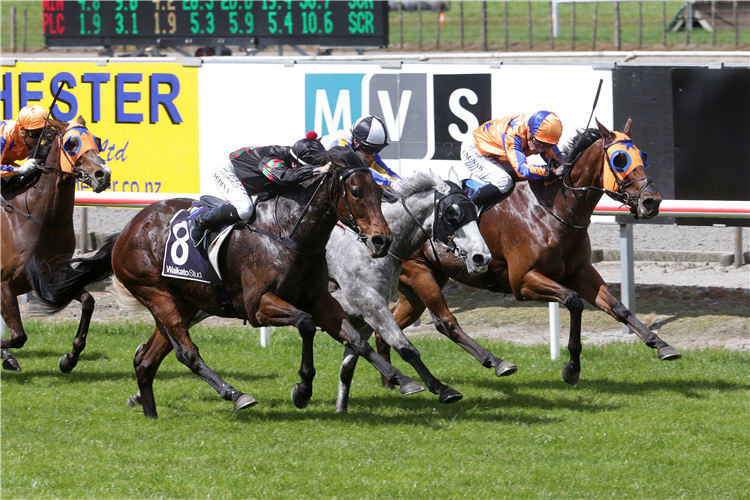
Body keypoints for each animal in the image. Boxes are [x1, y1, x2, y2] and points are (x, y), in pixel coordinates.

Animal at [0, 117, 111, 374]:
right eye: (72, 143)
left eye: (97, 139)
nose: (104, 175)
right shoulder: (4, 284)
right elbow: (18, 336)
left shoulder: (54, 275)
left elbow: (88, 302)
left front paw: (69, 358)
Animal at [30, 146, 428, 418]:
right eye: (356, 192)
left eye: (380, 192)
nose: (382, 241)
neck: (289, 233)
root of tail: (127, 230)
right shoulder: (258, 305)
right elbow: (305, 324)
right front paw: (302, 388)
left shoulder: (320, 299)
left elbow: (354, 338)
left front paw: (403, 379)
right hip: (156, 293)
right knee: (186, 352)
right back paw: (235, 394)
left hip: (183, 302)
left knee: (146, 359)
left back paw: (150, 412)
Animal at [330, 170, 516, 412]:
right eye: (452, 213)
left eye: (474, 211)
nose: (481, 258)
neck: (366, 246)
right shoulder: (368, 303)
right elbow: (405, 346)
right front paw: (439, 388)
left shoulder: (364, 311)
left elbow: (351, 359)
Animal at [378, 119, 684, 384]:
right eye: (620, 159)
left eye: (642, 155)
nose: (652, 201)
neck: (553, 209)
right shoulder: (522, 281)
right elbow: (573, 301)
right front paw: (571, 367)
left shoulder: (580, 271)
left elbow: (619, 307)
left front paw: (660, 344)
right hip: (420, 275)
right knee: (445, 322)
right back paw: (496, 362)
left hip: (416, 285)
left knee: (387, 328)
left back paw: (390, 381)